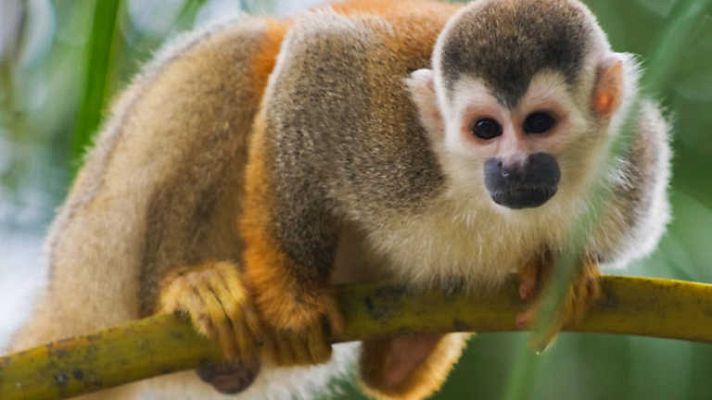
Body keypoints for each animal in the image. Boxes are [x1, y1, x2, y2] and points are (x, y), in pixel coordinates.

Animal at [7, 0, 671, 399]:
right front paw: (293, 305)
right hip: (97, 247)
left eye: (538, 124)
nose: (512, 169)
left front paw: (560, 275)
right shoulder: (387, 136)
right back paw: (188, 290)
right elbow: (315, 58)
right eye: (485, 129)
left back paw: (400, 357)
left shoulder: (635, 171)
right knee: (244, 51)